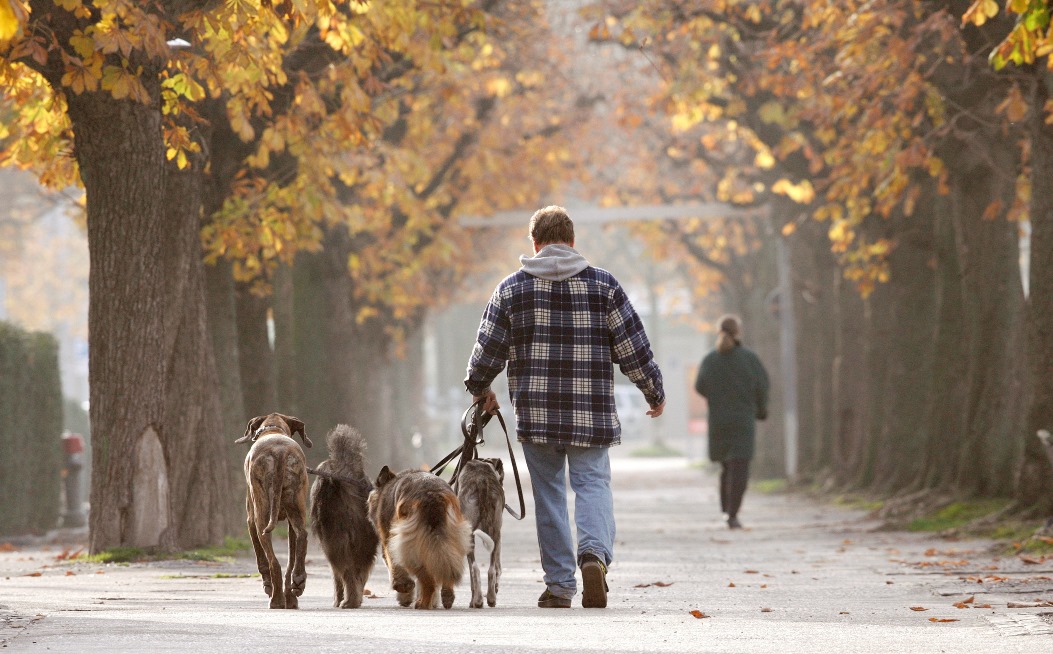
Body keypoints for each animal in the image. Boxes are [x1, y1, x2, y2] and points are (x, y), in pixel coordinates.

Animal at [233, 412, 309, 606]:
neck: (274, 429)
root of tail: (280, 452)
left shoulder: (251, 520)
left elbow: (261, 558)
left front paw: (268, 585)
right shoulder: (290, 524)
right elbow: (291, 555)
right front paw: (291, 595)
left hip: (262, 514)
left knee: (273, 561)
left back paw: (276, 600)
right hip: (296, 503)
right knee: (302, 536)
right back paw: (297, 582)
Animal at [307, 423, 379, 606]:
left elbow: (337, 576)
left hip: (334, 539)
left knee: (346, 571)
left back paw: (348, 601)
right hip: (364, 540)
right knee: (360, 570)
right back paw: (354, 599)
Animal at [368, 463, 471, 606]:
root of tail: (432, 495)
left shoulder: (389, 539)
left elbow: (393, 563)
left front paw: (404, 589)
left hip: (412, 546)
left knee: (428, 581)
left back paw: (423, 604)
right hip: (451, 538)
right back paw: (446, 596)